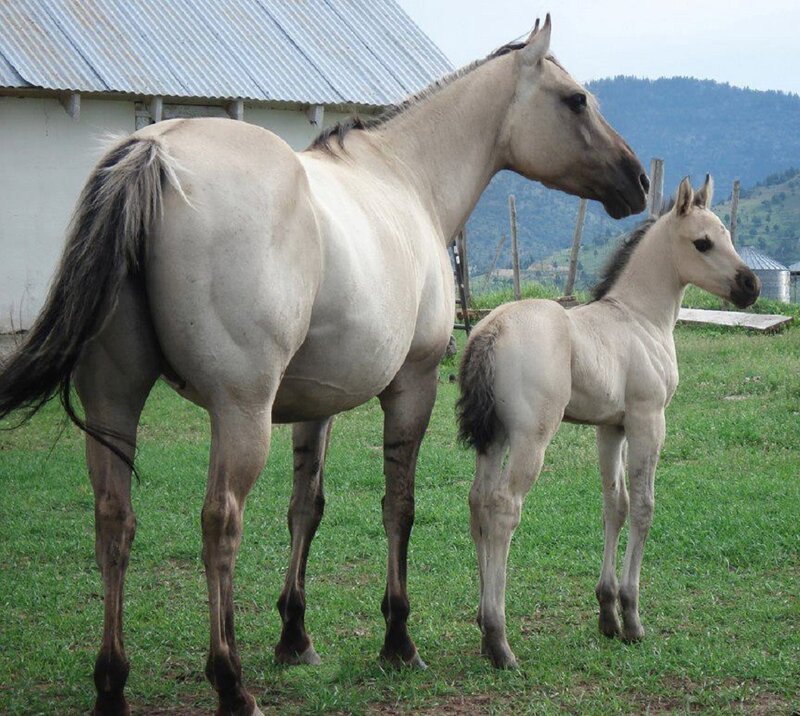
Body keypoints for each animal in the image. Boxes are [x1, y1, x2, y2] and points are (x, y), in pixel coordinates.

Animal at [0, 16, 648, 715]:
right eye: (577, 101)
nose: (638, 180)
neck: (405, 179)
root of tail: (153, 149)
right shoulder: (411, 387)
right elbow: (399, 506)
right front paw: (398, 639)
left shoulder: (317, 405)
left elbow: (305, 507)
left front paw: (294, 635)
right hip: (240, 413)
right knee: (220, 523)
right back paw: (230, 682)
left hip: (114, 404)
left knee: (114, 521)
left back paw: (112, 685)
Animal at [457, 175, 760, 669]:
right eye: (702, 242)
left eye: (727, 236)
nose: (750, 286)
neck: (638, 317)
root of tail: (490, 330)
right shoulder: (648, 420)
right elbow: (643, 507)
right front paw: (633, 617)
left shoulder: (610, 427)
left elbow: (613, 505)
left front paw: (607, 613)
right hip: (531, 438)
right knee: (503, 508)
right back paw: (501, 642)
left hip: (494, 437)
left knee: (478, 502)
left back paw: (485, 629)